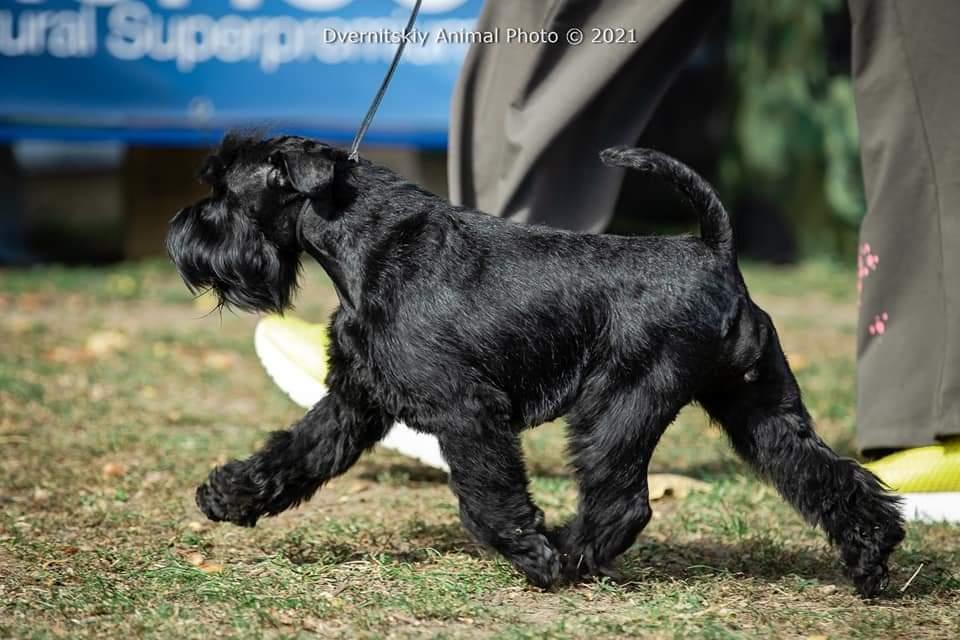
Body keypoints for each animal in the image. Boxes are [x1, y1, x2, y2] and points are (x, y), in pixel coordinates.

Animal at [166, 134, 904, 597]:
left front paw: (533, 553)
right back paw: (871, 562)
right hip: (760, 409)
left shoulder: (467, 411)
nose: (178, 235)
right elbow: (294, 451)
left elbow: (490, 498)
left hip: (616, 408)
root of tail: (718, 255)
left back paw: (570, 557)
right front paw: (228, 494)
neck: (369, 244)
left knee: (624, 502)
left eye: (221, 194)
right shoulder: (355, 400)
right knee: (831, 476)